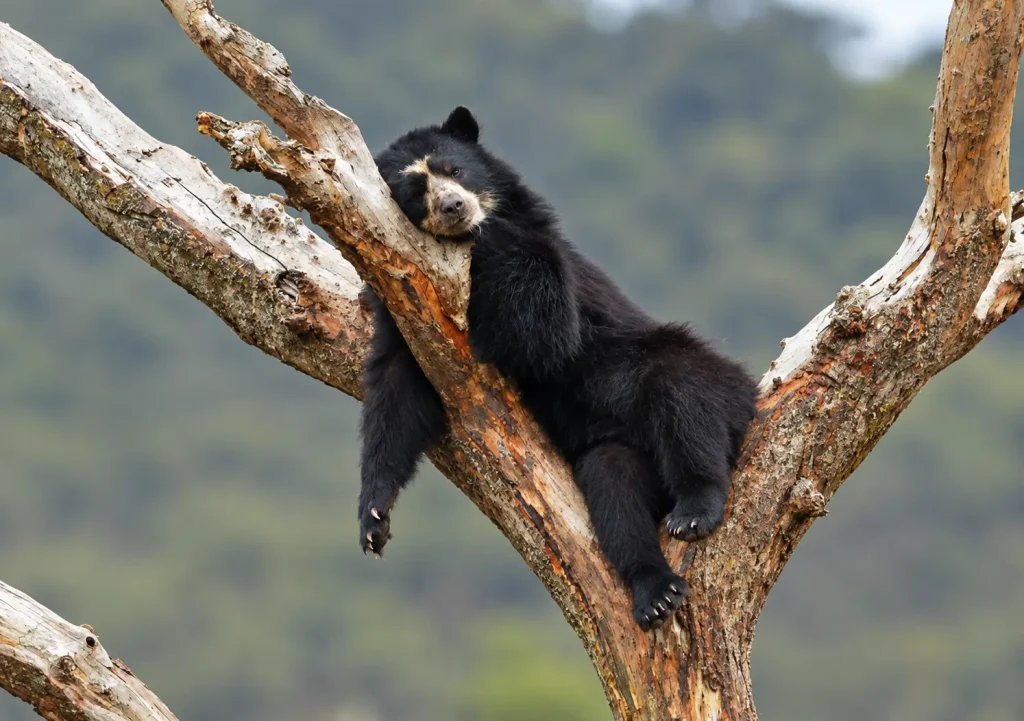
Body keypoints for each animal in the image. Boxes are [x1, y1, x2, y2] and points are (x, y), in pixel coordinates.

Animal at [358, 106, 758, 631]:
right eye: (414, 191)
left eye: (455, 170)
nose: (454, 207)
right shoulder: (405, 305)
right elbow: (396, 394)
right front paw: (374, 520)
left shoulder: (547, 262)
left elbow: (546, 329)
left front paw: (492, 228)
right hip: (620, 456)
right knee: (613, 483)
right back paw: (655, 591)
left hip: (709, 381)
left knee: (682, 392)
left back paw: (694, 510)